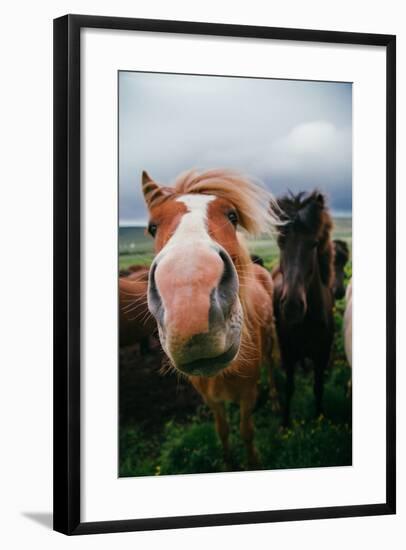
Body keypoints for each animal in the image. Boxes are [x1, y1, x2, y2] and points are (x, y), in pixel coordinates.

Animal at [140, 169, 280, 466]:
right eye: (152, 227)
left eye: (232, 216)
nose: (190, 304)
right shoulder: (212, 400)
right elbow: (223, 430)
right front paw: (228, 462)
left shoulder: (247, 393)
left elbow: (246, 430)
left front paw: (252, 463)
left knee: (272, 368)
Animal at [272, 192, 334, 430]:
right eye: (281, 242)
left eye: (314, 243)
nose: (292, 306)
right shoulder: (288, 354)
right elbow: (289, 387)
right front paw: (285, 423)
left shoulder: (323, 355)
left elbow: (319, 387)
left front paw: (319, 418)